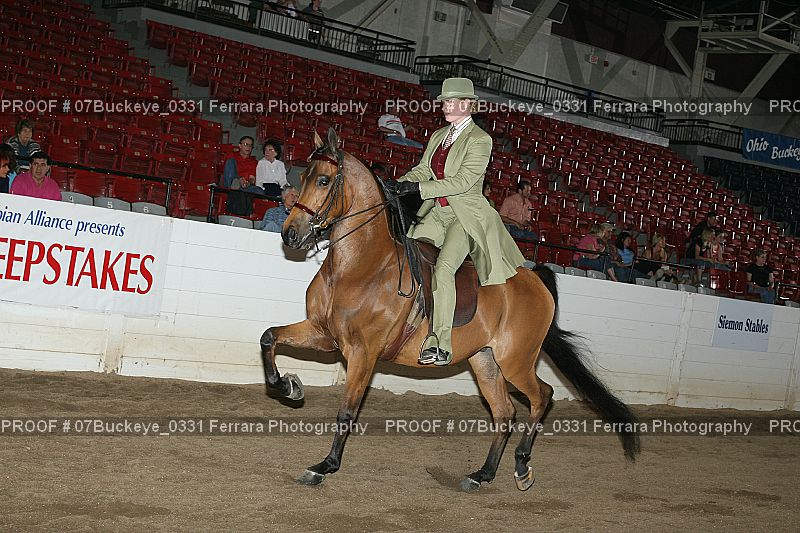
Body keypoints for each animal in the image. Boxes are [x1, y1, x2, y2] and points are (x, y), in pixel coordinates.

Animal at [260, 128, 640, 491]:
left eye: (324, 180)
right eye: (303, 176)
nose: (290, 234)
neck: (361, 266)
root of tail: (535, 278)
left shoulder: (363, 352)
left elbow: (347, 412)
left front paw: (323, 467)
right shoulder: (323, 334)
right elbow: (269, 338)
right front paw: (289, 386)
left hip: (515, 360)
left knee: (542, 396)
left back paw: (521, 466)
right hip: (485, 360)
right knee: (504, 413)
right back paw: (482, 474)